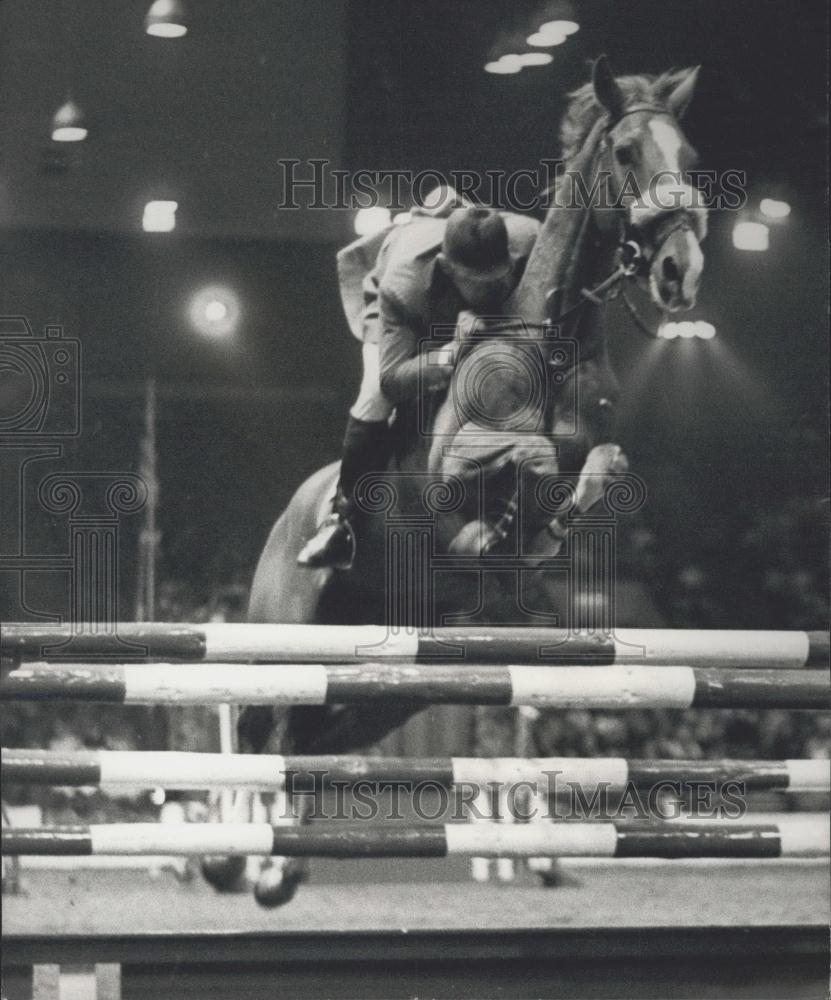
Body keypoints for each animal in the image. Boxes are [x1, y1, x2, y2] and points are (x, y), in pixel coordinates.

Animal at [203, 56, 708, 908]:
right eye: (627, 152)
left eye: (691, 155)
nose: (679, 271)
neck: (550, 340)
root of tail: (281, 523)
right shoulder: (446, 471)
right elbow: (521, 459)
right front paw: (500, 528)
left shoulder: (599, 449)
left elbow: (599, 466)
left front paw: (545, 531)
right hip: (285, 635)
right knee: (257, 729)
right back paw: (230, 859)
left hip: (386, 683)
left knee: (308, 739)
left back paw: (278, 868)